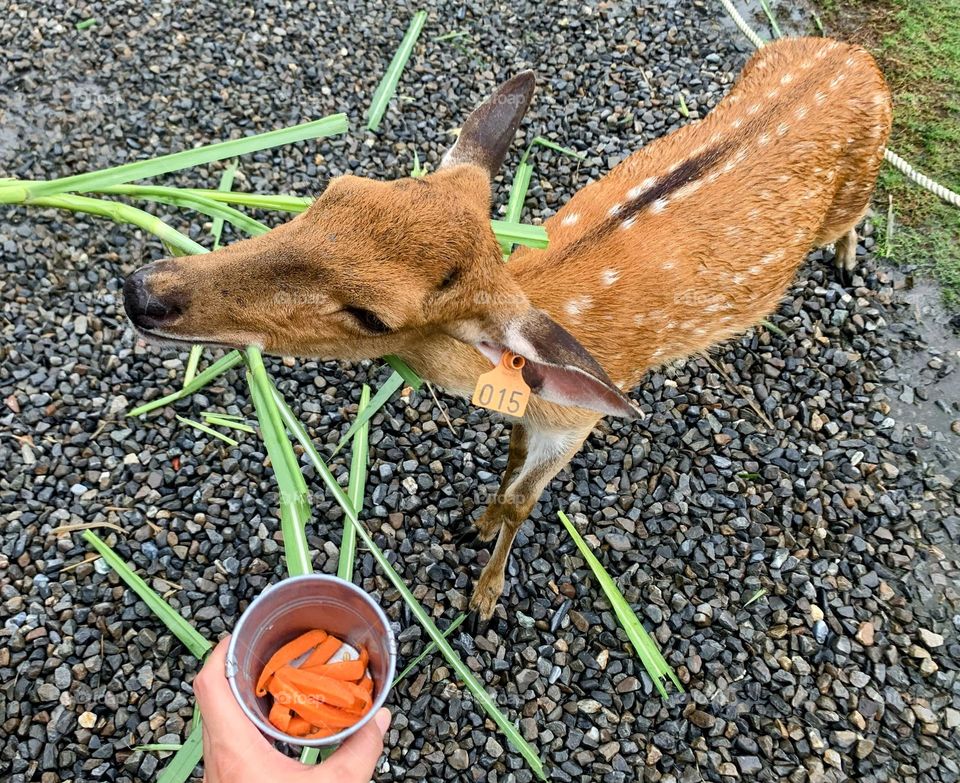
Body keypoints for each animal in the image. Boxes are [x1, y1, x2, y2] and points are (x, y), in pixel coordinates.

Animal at [124, 37, 892, 620]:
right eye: (335, 190)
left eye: (375, 316)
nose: (143, 293)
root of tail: (858, 53)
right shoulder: (535, 415)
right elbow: (510, 460)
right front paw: (479, 518)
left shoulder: (579, 423)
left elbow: (527, 501)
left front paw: (485, 594)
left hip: (857, 187)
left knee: (854, 218)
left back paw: (849, 258)